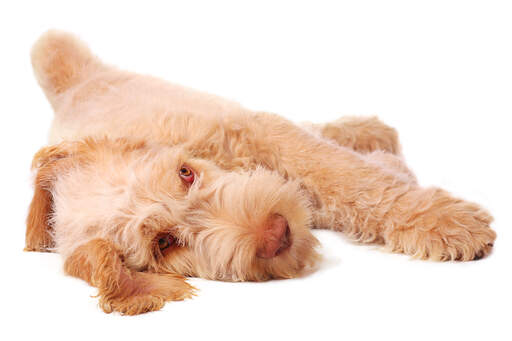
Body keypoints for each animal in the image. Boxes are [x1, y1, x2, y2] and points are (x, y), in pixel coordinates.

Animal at [25, 31, 496, 314]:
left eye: (185, 174)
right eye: (164, 243)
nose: (276, 232)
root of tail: (73, 88)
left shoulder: (262, 133)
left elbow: (350, 175)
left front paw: (445, 220)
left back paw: (370, 132)